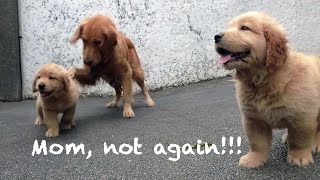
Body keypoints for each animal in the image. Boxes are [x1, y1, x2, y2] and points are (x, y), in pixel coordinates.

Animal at [215, 11, 320, 168]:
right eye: (229, 27)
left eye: (244, 28)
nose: (216, 36)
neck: (261, 80)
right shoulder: (253, 118)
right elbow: (257, 142)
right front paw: (254, 159)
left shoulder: (302, 116)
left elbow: (299, 140)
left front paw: (299, 157)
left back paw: (316, 144)